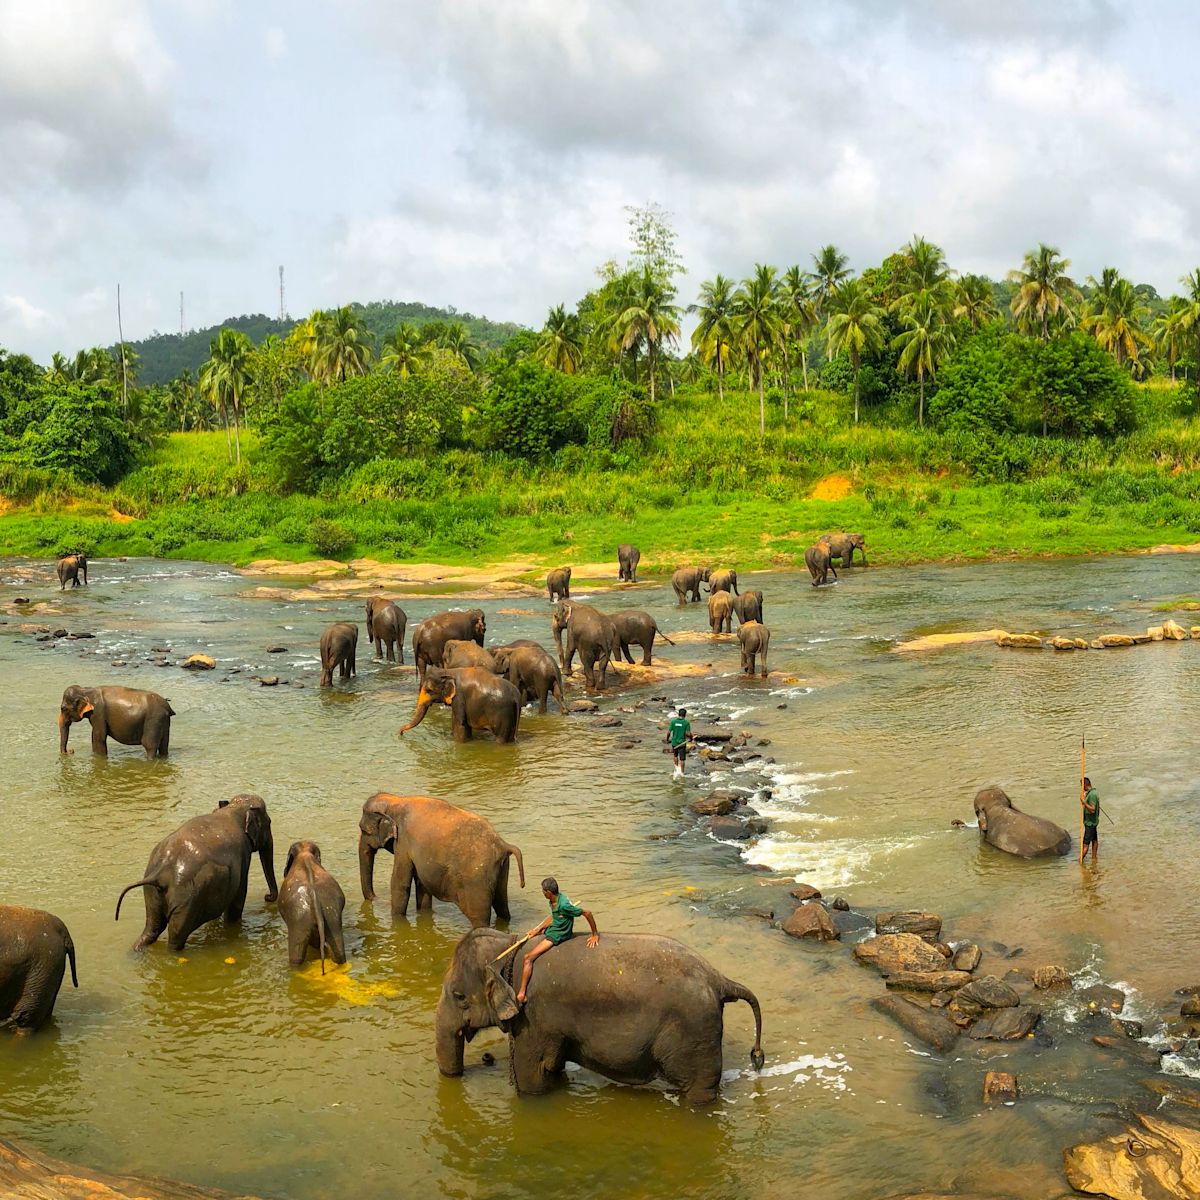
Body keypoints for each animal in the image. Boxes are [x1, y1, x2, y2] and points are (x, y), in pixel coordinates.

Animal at [112, 792, 278, 950]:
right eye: (269, 822)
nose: (267, 897)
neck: (234, 808)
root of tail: (161, 870)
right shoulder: (243, 854)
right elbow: (238, 897)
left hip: (153, 893)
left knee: (152, 928)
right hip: (187, 899)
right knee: (176, 935)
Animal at [355, 796, 525, 926]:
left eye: (363, 830)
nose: (381, 900)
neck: (394, 800)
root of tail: (503, 844)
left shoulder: (403, 843)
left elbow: (400, 883)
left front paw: (397, 921)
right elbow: (421, 885)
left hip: (476, 880)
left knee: (480, 918)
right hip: (501, 870)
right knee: (503, 908)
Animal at [436, 926, 763, 1104]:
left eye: (458, 996)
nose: (483, 1062)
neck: (509, 943)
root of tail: (718, 979)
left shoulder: (533, 1016)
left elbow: (533, 1074)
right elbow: (552, 1068)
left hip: (695, 1033)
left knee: (698, 1088)